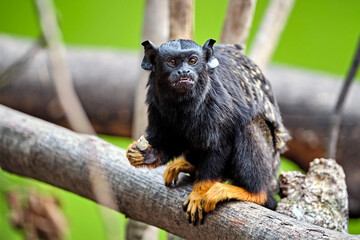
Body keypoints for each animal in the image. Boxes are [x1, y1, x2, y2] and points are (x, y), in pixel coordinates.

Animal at [126, 39, 290, 225]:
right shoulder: (156, 103)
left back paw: (254, 192)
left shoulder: (217, 102)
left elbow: (219, 145)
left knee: (249, 126)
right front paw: (143, 154)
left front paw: (199, 192)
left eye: (192, 61)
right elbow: (169, 141)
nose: (184, 71)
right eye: (172, 62)